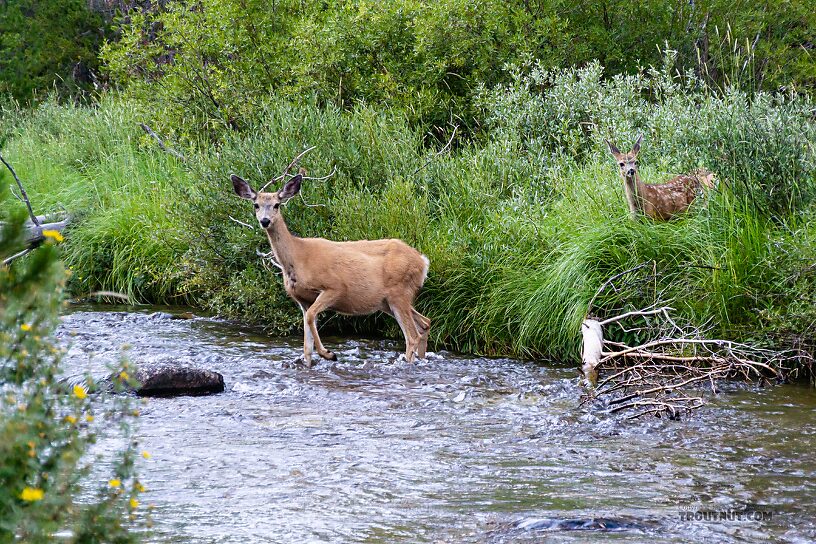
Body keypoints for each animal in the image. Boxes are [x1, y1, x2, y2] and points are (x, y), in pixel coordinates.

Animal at [230, 164, 430, 366]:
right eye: (256, 205)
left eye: (277, 205)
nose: (265, 221)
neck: (297, 257)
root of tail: (423, 261)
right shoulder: (302, 300)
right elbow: (306, 346)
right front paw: (312, 360)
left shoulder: (335, 287)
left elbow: (311, 317)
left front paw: (328, 353)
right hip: (387, 301)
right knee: (425, 323)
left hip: (399, 292)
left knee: (412, 336)